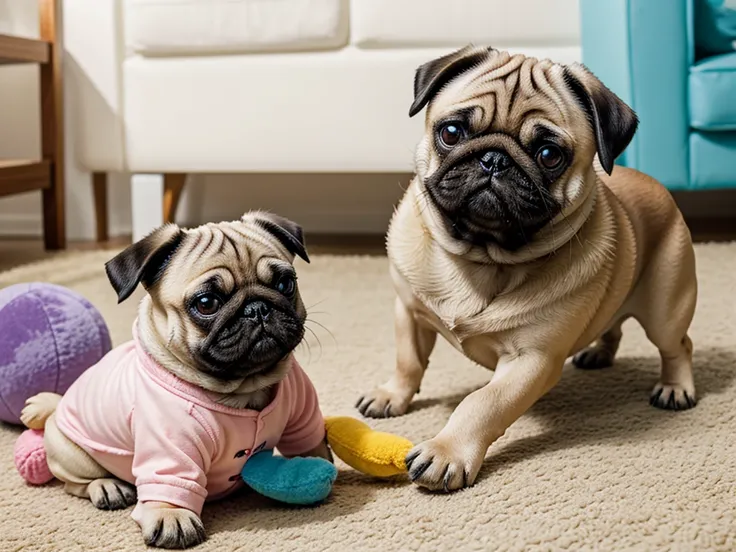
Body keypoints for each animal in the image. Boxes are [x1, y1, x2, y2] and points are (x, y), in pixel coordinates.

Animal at [20, 211, 330, 548]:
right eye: (207, 303)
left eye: (285, 284)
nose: (257, 308)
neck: (245, 387)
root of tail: (58, 406)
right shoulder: (169, 448)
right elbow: (169, 481)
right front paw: (173, 517)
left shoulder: (303, 417)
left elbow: (311, 443)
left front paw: (321, 467)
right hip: (70, 454)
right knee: (74, 483)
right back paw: (106, 486)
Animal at [356, 48, 696, 492]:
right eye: (451, 133)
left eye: (549, 155)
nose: (493, 160)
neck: (482, 257)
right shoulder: (409, 314)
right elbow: (408, 361)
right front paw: (391, 395)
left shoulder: (531, 361)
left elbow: (482, 403)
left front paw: (446, 452)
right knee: (613, 323)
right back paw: (598, 353)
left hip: (665, 307)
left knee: (677, 345)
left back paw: (675, 388)